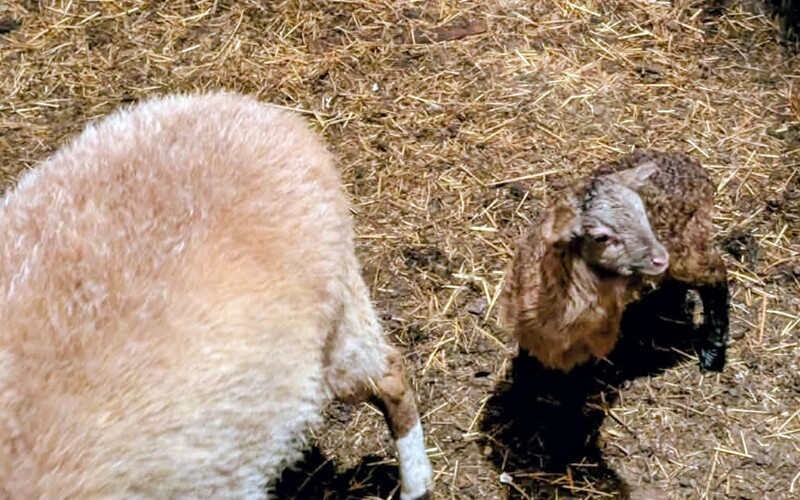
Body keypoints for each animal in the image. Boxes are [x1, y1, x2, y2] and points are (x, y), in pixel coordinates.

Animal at [503, 150, 729, 373]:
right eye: (601, 237)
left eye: (643, 215)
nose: (660, 258)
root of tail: (694, 168)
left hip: (688, 242)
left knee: (715, 276)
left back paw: (712, 353)